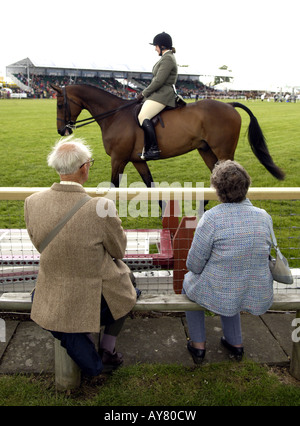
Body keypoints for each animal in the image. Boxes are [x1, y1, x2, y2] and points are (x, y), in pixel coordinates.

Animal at [50, 84, 284, 187]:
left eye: (60, 104)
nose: (62, 131)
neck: (114, 115)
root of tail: (229, 104)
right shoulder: (137, 160)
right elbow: (150, 185)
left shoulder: (118, 159)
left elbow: (114, 187)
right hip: (206, 150)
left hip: (223, 151)